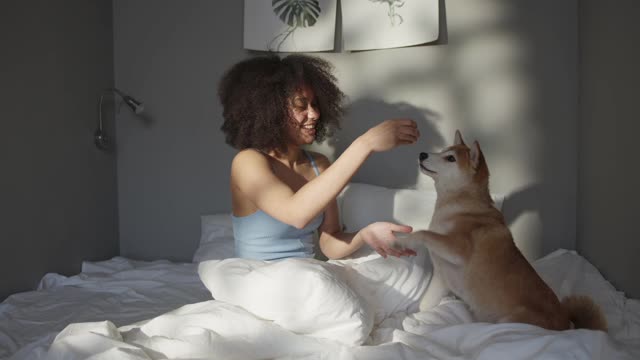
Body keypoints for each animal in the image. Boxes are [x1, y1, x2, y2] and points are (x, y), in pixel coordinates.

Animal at [404, 131, 604, 330]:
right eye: (443, 150)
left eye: (450, 158)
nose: (422, 154)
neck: (460, 207)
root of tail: (567, 324)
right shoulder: (441, 279)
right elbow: (423, 306)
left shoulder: (458, 250)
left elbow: (424, 233)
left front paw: (405, 238)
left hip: (507, 322)